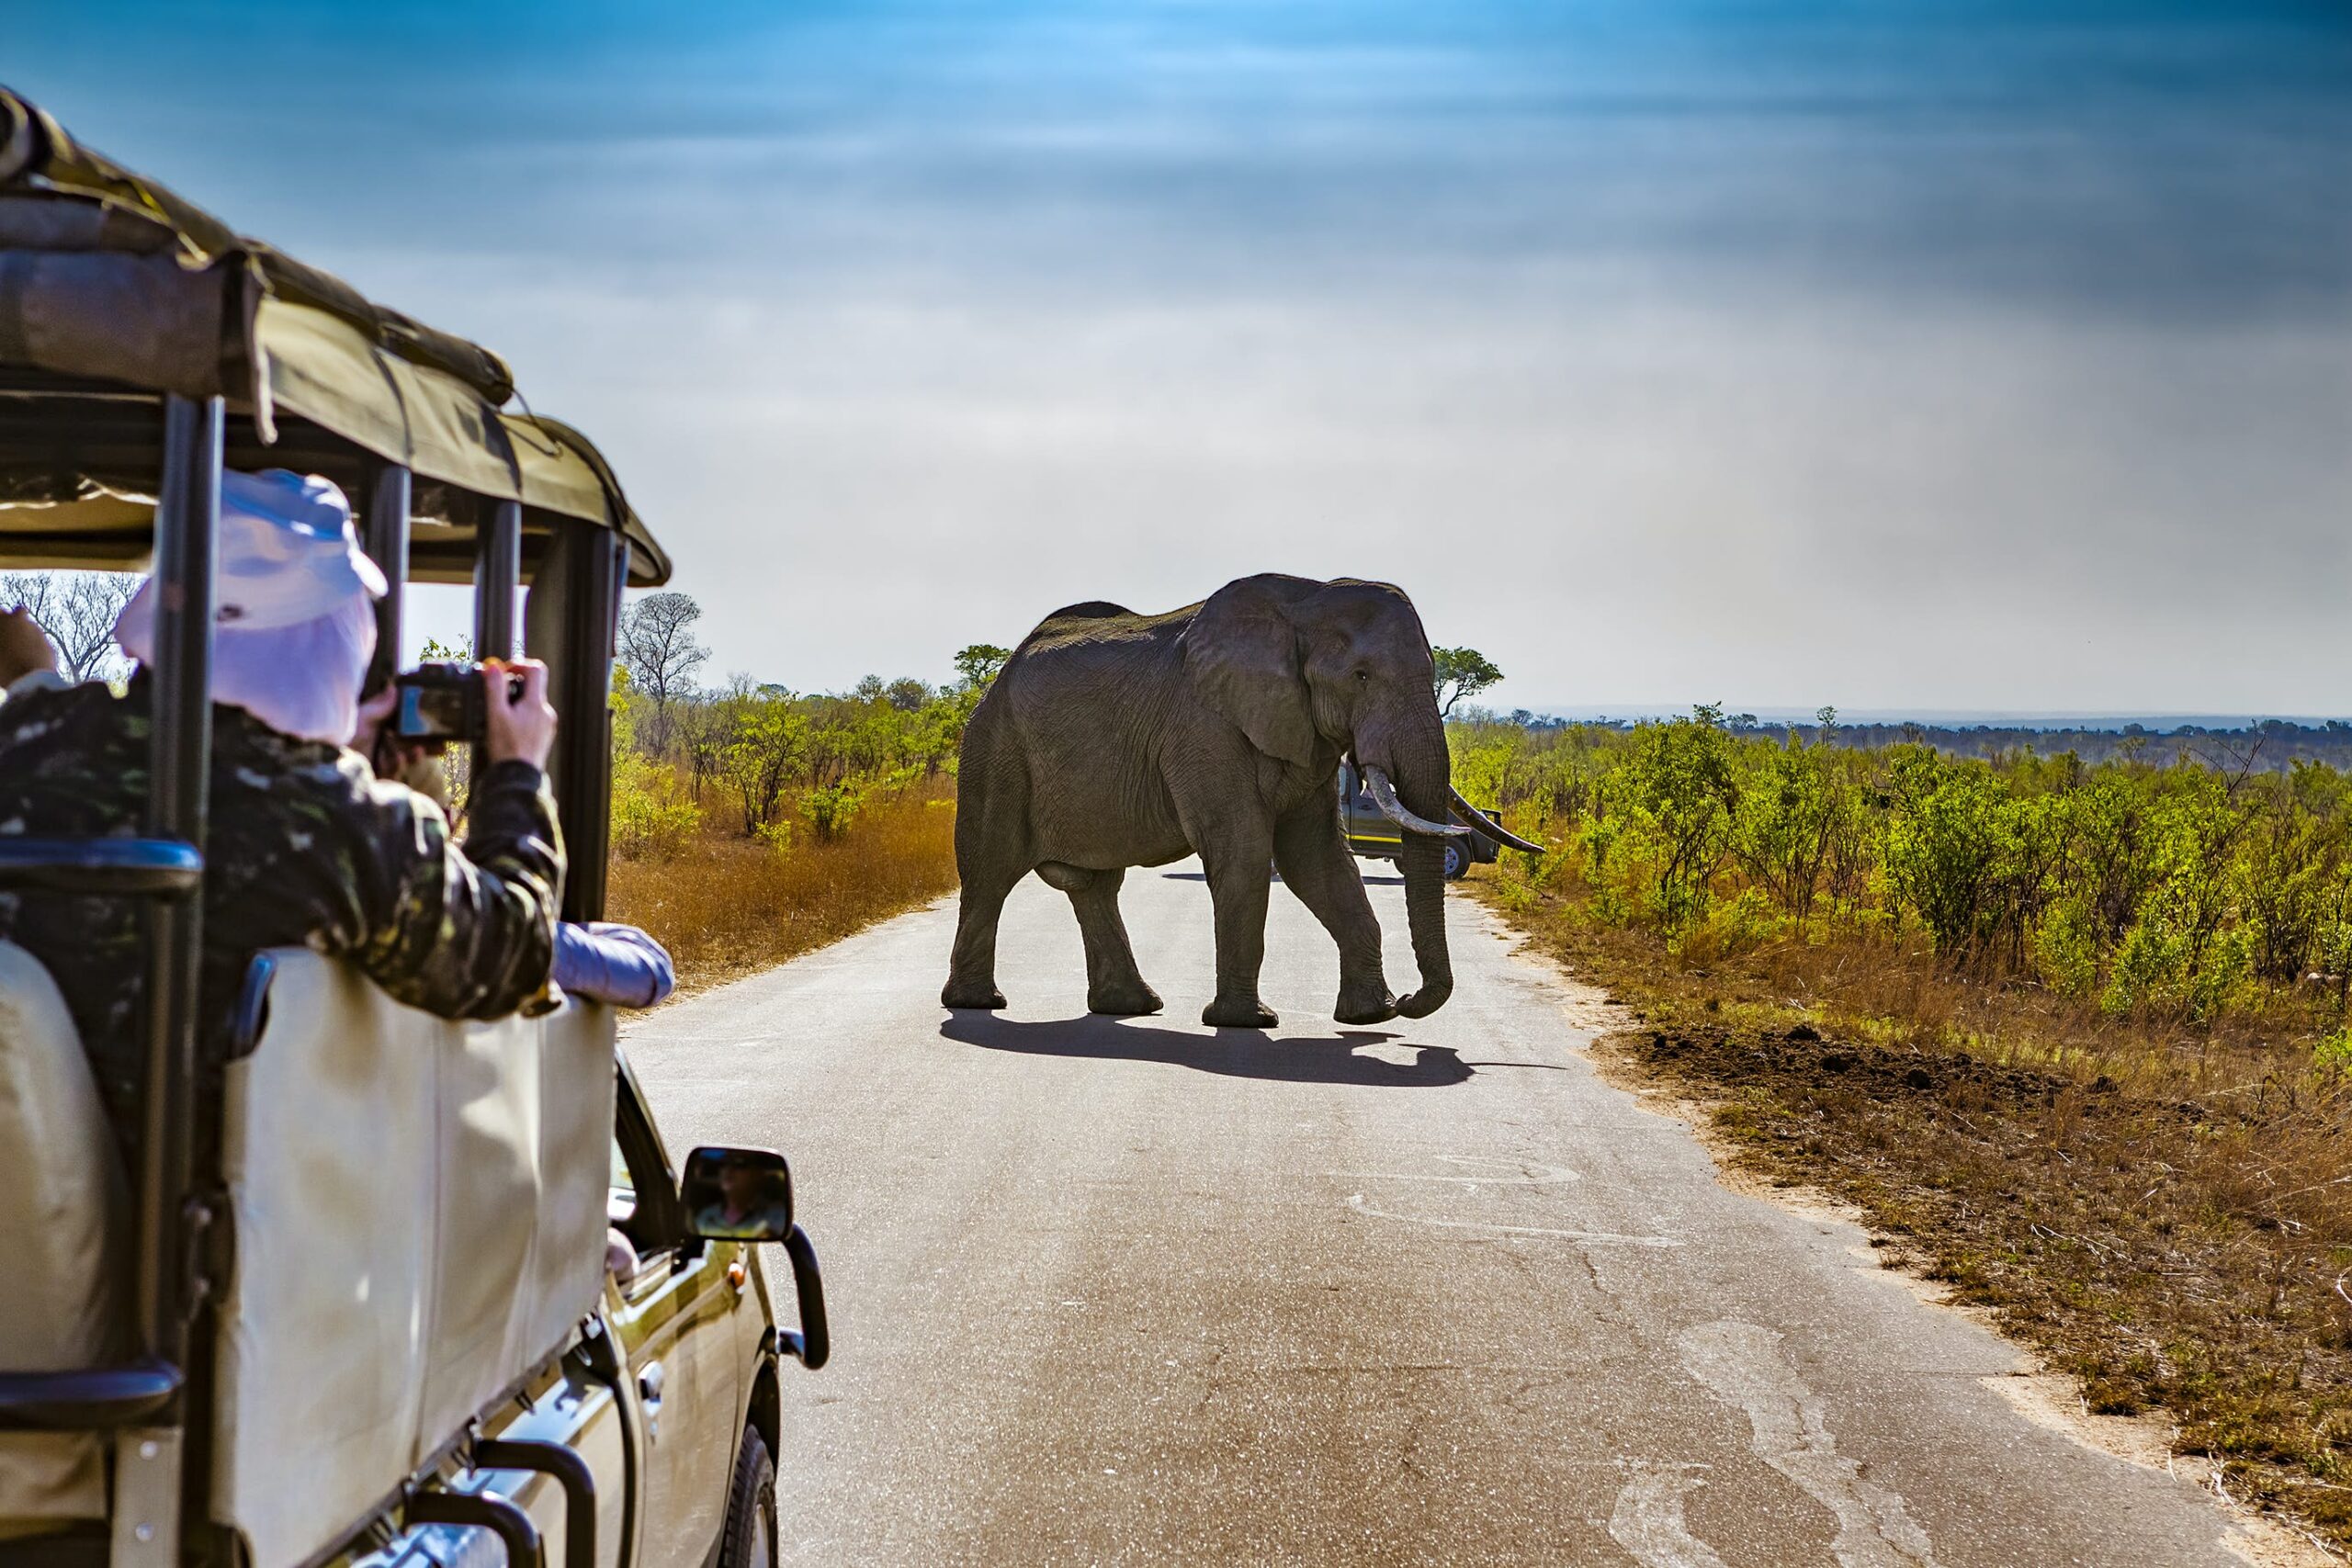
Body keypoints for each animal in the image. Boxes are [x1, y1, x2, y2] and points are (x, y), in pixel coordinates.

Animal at [935, 573, 1543, 1029]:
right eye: (1361, 676)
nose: (1415, 1003)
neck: (1305, 604)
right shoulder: (1204, 728)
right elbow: (1245, 852)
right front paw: (1247, 1022)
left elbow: (1317, 859)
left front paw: (1371, 1017)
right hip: (994, 749)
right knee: (991, 872)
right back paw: (978, 1004)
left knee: (1095, 886)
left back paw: (1134, 1007)